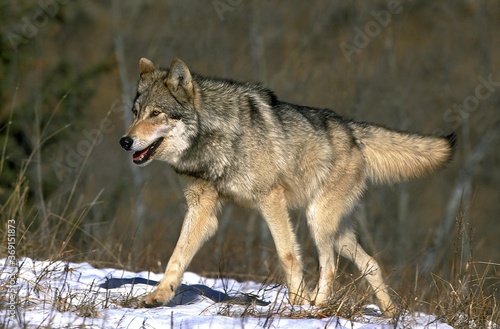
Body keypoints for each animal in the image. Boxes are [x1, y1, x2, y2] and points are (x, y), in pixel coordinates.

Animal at [119, 57, 456, 316]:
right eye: (135, 113)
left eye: (156, 114)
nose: (125, 141)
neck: (216, 138)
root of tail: (352, 130)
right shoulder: (202, 209)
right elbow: (177, 256)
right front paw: (158, 297)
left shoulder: (271, 199)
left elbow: (288, 255)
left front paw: (297, 303)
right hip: (338, 232)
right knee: (371, 263)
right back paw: (390, 314)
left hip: (318, 221)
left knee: (329, 266)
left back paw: (316, 306)